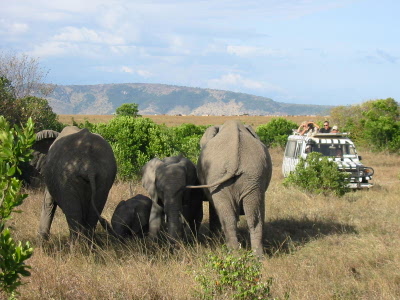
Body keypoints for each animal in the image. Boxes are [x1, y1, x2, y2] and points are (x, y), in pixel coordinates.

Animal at [188, 120, 272, 256]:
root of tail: (234, 161)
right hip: (250, 177)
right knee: (252, 218)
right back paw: (254, 257)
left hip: (243, 177)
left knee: (234, 218)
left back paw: (236, 254)